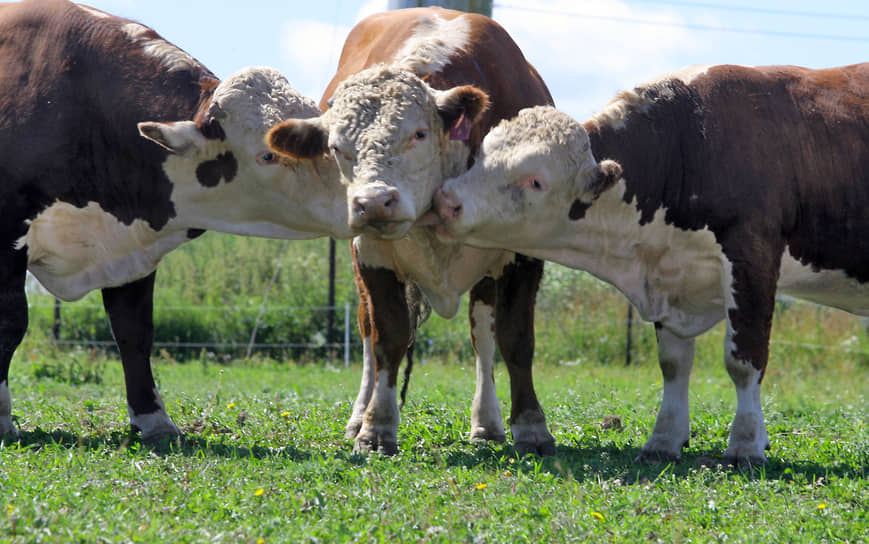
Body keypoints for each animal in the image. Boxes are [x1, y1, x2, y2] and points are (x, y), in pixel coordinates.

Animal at [1, 0, 352, 442]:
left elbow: (135, 331)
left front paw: (153, 420)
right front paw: (2, 419)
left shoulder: (130, 247)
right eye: (269, 154)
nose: (360, 197)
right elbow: (11, 321)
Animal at [268, 8, 556, 454]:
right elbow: (389, 336)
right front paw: (376, 428)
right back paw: (360, 414)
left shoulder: (523, 255)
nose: (372, 203)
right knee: (368, 334)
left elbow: (516, 339)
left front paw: (531, 426)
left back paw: (487, 422)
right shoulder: (372, 254)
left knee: (483, 335)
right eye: (336, 147)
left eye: (419, 134)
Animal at [432, 62, 868, 464]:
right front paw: (665, 439)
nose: (448, 200)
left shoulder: (753, 256)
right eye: (481, 154)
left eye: (536, 180)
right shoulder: (671, 276)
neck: (691, 142)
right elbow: (673, 363)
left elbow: (743, 359)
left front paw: (745, 444)